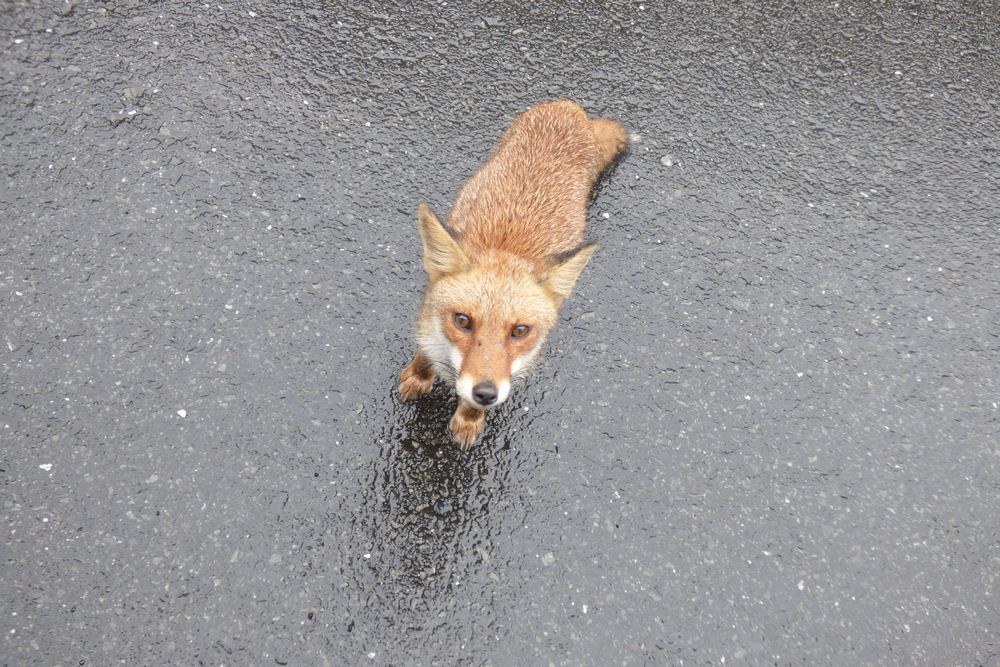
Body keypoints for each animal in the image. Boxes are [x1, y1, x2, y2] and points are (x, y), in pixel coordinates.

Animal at [396, 99, 624, 452]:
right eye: (462, 320)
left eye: (519, 330)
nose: (485, 393)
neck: (506, 248)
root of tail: (568, 106)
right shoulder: (427, 316)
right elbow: (425, 351)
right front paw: (418, 377)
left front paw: (469, 418)